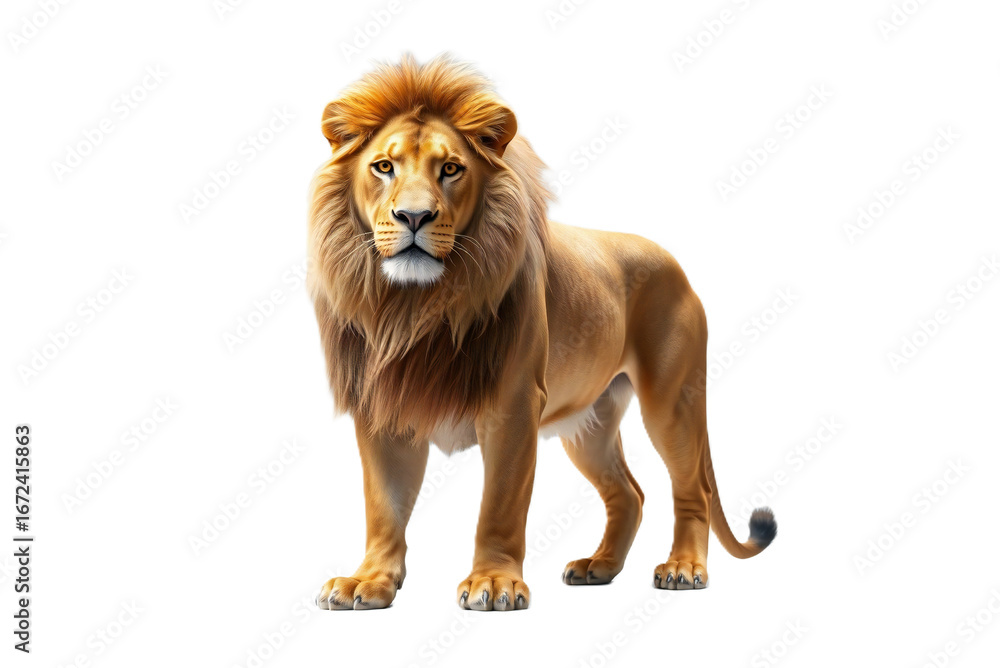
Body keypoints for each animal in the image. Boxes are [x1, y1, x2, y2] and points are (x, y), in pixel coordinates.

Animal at [308, 56, 776, 611]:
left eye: (451, 169)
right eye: (384, 167)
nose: (415, 216)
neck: (414, 306)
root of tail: (674, 264)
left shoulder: (513, 403)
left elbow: (500, 505)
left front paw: (493, 583)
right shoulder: (383, 406)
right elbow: (384, 505)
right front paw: (369, 581)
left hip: (672, 401)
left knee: (691, 490)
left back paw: (684, 568)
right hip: (592, 422)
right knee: (629, 493)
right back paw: (599, 567)